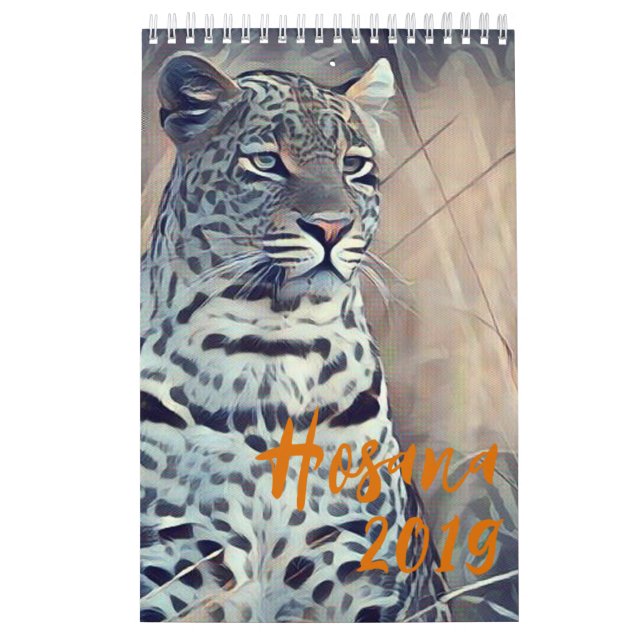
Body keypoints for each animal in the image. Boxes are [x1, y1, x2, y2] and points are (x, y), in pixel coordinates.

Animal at [140, 51, 449, 622]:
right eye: (267, 162)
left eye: (355, 166)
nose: (331, 227)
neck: (269, 348)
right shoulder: (171, 563)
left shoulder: (363, 576)